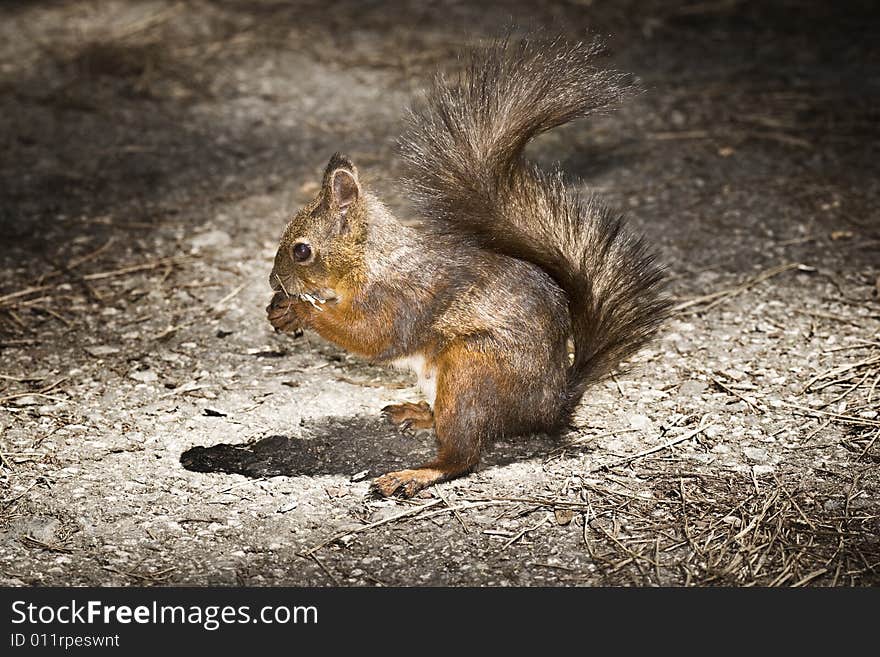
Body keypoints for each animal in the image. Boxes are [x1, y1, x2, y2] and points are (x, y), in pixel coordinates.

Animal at [266, 36, 668, 498]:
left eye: (301, 251)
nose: (273, 280)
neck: (372, 260)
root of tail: (552, 405)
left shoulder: (401, 298)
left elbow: (370, 335)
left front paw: (300, 309)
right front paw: (281, 311)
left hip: (471, 371)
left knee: (463, 455)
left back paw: (415, 474)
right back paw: (417, 413)